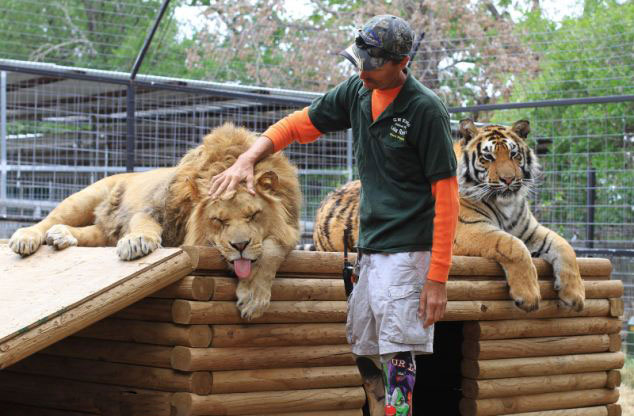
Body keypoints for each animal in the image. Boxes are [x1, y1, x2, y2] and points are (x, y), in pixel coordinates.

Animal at [9, 123, 302, 318]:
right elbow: (145, 224)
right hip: (86, 197)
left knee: (89, 233)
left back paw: (62, 236)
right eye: (218, 220)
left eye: (253, 215)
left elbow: (272, 251)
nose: (240, 245)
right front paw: (137, 242)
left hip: (103, 230)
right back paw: (26, 238)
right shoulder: (153, 209)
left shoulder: (289, 230)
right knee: (48, 220)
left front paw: (253, 298)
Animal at [312, 118, 584, 312]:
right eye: (488, 157)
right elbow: (512, 245)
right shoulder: (469, 230)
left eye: (514, 154)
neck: (506, 204)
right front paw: (528, 296)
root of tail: (326, 199)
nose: (509, 180)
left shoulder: (529, 230)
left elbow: (564, 246)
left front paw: (575, 295)